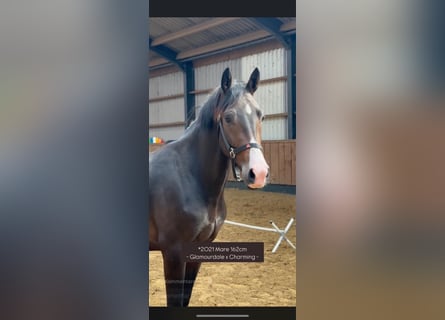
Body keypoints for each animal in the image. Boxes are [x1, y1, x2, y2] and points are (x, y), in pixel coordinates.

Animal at [148, 67, 268, 304]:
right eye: (228, 118)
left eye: (260, 115)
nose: (258, 173)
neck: (189, 179)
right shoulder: (173, 254)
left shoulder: (197, 253)